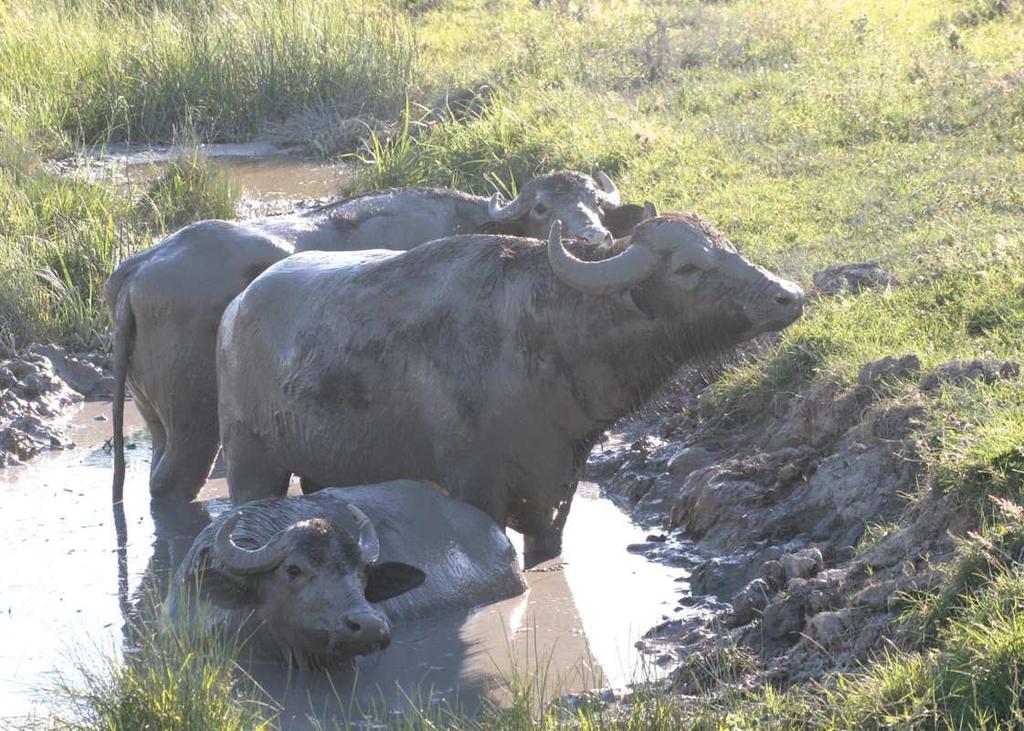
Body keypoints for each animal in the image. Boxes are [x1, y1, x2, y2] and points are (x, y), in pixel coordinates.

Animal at [108, 170, 626, 501]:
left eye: (597, 206)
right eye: (542, 207)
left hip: (156, 418)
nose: (595, 238)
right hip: (195, 422)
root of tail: (140, 267)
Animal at [218, 210, 806, 565]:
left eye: (728, 246)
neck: (545, 338)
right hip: (251, 462)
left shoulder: (557, 490)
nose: (790, 295)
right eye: (688, 267)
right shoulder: (475, 486)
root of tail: (234, 310)